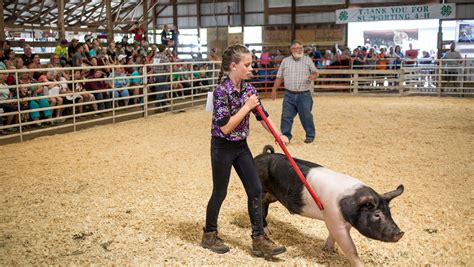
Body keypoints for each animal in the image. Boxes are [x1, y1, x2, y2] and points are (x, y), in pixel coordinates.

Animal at [254, 146, 406, 266]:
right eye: (377, 214)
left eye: (389, 212)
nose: (400, 233)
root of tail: (262, 155)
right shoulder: (335, 219)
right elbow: (350, 248)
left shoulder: (339, 221)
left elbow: (332, 235)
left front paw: (329, 250)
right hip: (261, 189)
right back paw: (268, 233)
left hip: (272, 195)